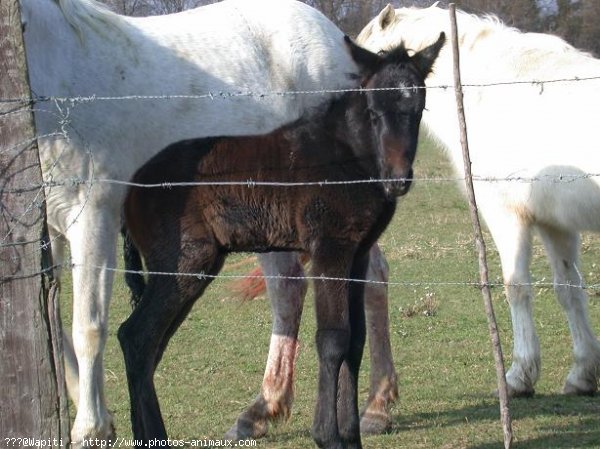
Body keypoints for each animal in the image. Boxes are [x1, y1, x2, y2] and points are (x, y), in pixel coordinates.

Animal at [19, 0, 360, 442]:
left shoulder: (91, 217)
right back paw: (262, 411)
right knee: (289, 291)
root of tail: (333, 40)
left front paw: (91, 429)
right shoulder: (43, 237)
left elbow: (87, 328)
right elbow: (53, 329)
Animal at [356, 3, 600, 396]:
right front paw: (582, 373)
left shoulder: (506, 214)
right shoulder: (555, 223)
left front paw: (519, 376)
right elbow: (569, 289)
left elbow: (516, 287)